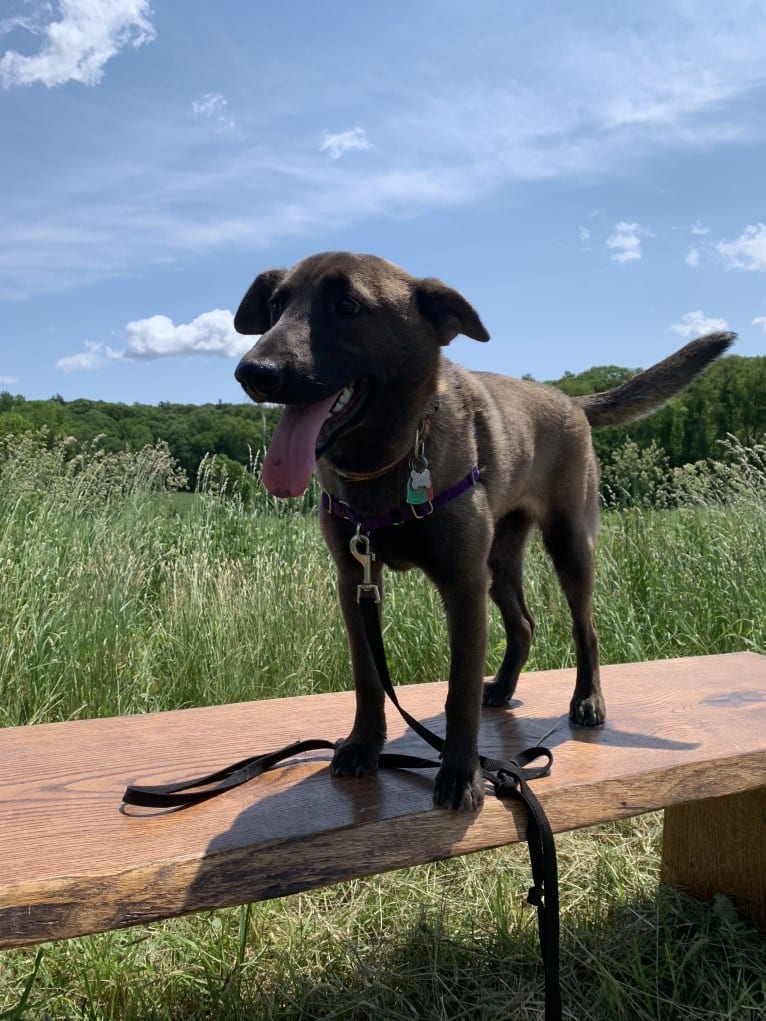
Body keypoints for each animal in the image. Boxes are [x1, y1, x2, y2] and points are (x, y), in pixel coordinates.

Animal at [235, 251, 739, 808]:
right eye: (276, 306)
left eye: (348, 305)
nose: (252, 371)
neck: (388, 461)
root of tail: (570, 400)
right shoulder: (355, 580)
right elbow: (367, 675)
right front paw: (364, 747)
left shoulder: (462, 583)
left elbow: (458, 689)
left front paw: (461, 774)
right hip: (498, 563)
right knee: (523, 624)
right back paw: (500, 687)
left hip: (568, 546)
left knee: (584, 627)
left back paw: (587, 700)